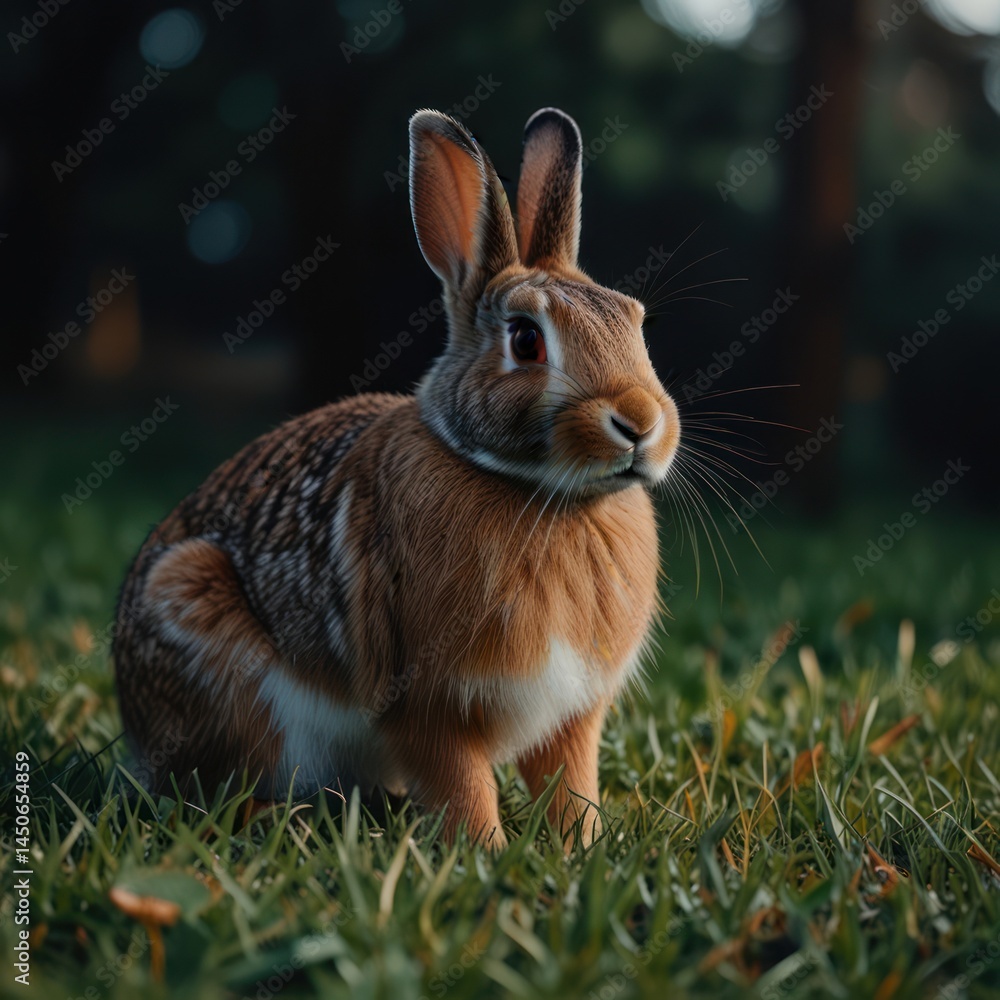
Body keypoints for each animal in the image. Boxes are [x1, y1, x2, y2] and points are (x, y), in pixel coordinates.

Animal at [113, 106, 680, 850]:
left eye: (636, 321)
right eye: (526, 340)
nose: (641, 423)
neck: (539, 492)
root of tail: (136, 728)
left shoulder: (572, 712)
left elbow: (568, 782)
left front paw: (580, 847)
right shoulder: (427, 704)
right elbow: (462, 785)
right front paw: (485, 854)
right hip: (212, 641)